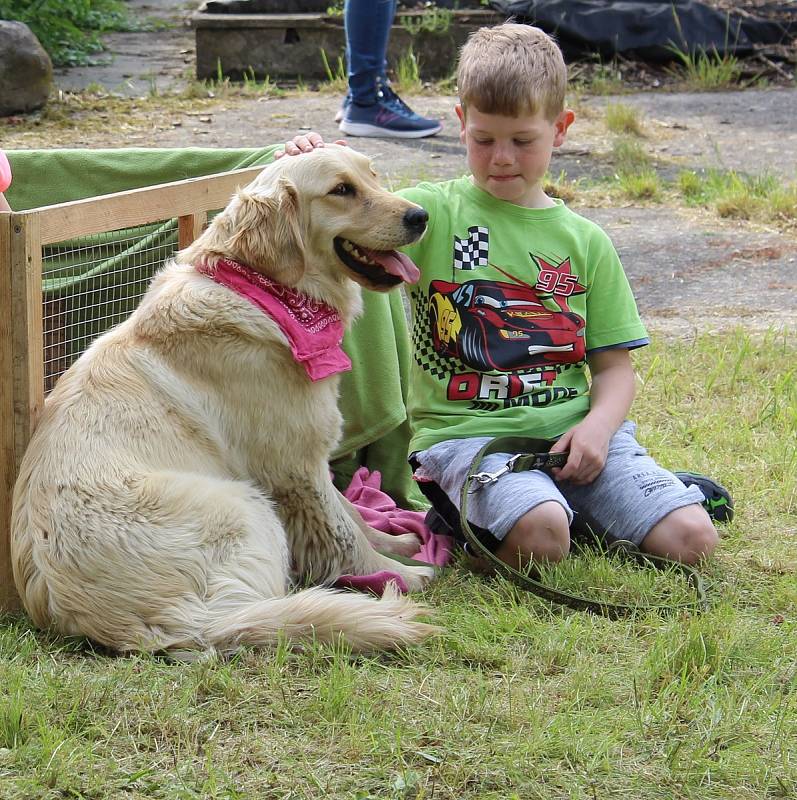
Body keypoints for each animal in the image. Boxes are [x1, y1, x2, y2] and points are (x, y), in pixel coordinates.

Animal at [10, 144, 436, 656]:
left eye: (372, 176)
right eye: (341, 190)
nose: (421, 216)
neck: (268, 292)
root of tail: (181, 624)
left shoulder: (304, 458)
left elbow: (350, 512)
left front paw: (397, 544)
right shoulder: (295, 464)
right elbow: (343, 531)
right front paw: (396, 572)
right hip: (246, 505)